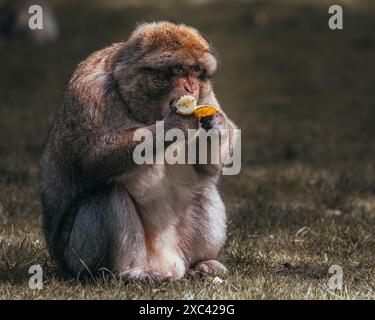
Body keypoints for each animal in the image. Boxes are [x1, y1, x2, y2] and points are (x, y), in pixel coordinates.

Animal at [40, 21, 238, 280]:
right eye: (177, 70)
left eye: (196, 72)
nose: (192, 86)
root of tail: (167, 263)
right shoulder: (91, 92)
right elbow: (94, 159)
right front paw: (171, 126)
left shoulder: (207, 95)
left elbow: (206, 168)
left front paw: (219, 125)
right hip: (76, 258)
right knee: (107, 194)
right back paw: (128, 272)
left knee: (203, 189)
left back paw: (201, 263)